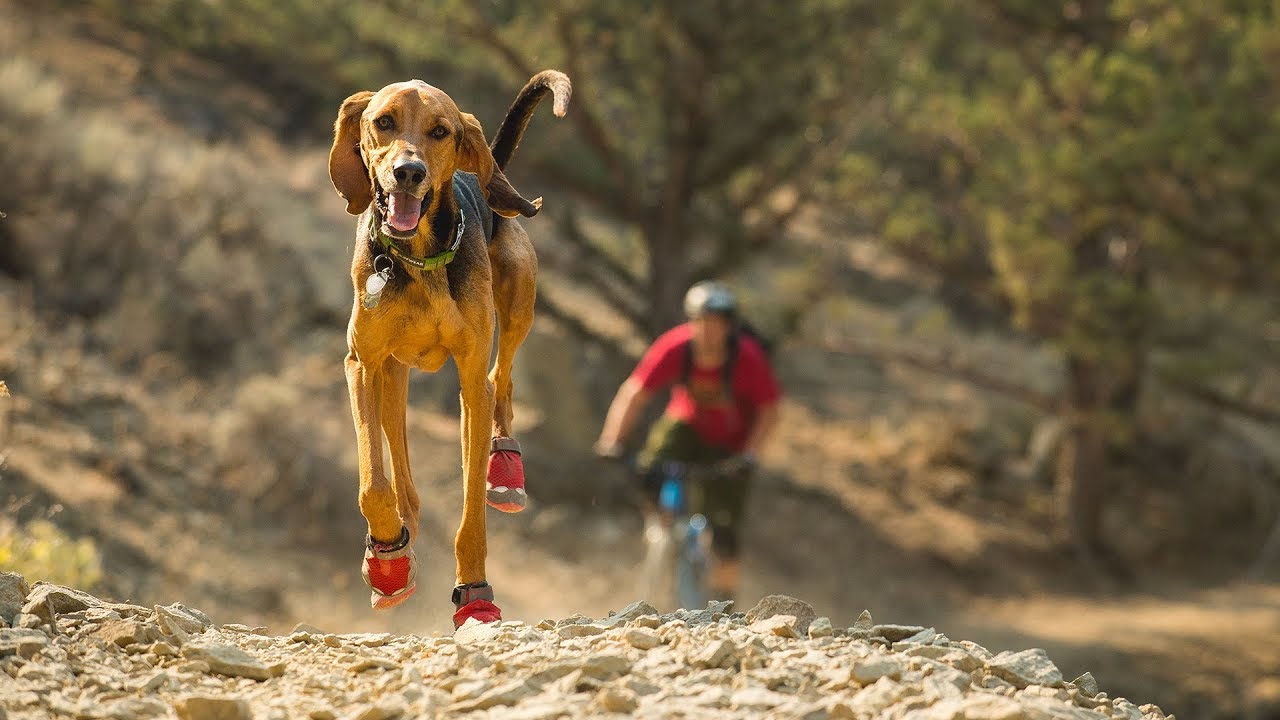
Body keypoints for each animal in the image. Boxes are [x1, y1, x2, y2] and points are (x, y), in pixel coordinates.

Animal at [330, 70, 570, 625]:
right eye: (383, 121)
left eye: (441, 131)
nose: (408, 172)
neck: (417, 258)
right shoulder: (361, 364)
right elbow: (374, 485)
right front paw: (388, 558)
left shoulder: (469, 376)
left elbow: (471, 514)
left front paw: (475, 593)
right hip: (392, 376)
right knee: (404, 477)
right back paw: (397, 546)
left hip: (517, 304)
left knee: (502, 381)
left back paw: (504, 465)